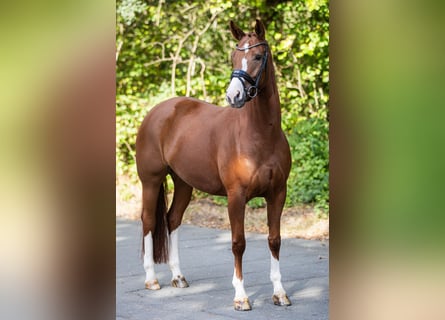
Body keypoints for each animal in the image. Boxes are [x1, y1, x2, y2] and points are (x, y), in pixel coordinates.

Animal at [135, 19, 292, 310]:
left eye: (257, 56)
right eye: (233, 57)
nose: (234, 95)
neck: (260, 135)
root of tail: (157, 112)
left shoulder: (278, 194)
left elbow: (274, 240)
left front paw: (279, 293)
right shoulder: (236, 196)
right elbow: (238, 243)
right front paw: (240, 296)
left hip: (183, 183)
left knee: (172, 219)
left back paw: (178, 277)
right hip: (150, 181)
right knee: (149, 220)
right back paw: (151, 279)